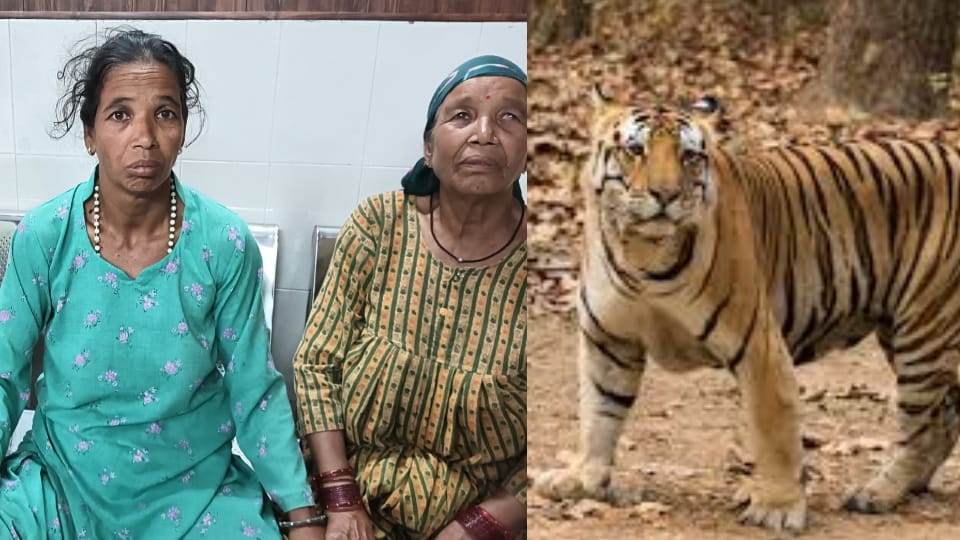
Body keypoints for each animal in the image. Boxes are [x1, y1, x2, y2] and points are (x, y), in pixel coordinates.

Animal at [532, 89, 960, 532]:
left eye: (688, 155)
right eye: (635, 150)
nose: (666, 195)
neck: (641, 254)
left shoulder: (758, 345)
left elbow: (774, 429)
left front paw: (777, 506)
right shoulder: (609, 340)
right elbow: (599, 413)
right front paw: (582, 478)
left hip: (923, 330)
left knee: (921, 426)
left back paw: (878, 492)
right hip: (903, 333)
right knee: (944, 420)